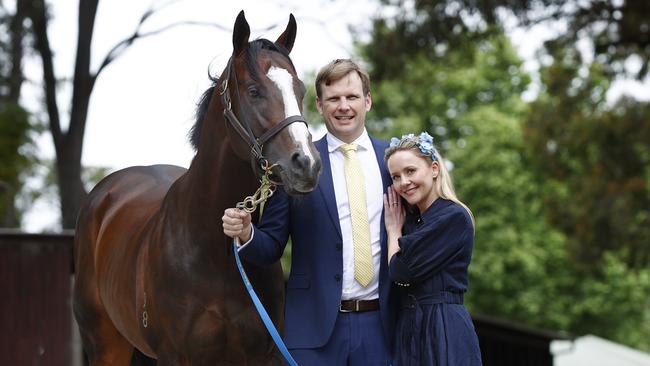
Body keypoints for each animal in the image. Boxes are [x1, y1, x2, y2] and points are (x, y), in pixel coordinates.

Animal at [72, 10, 320, 364]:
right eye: (254, 90)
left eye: (299, 91)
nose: (306, 164)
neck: (212, 251)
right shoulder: (176, 356)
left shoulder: (263, 355)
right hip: (106, 344)